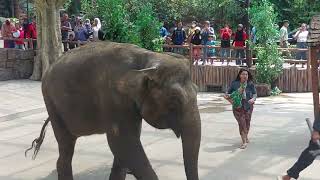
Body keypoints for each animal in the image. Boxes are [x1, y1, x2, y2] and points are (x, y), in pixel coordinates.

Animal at [26, 41, 200, 180]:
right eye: (174, 101)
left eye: (197, 90)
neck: (145, 59)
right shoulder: (113, 98)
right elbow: (123, 142)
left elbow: (126, 145)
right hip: (51, 103)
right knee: (66, 145)